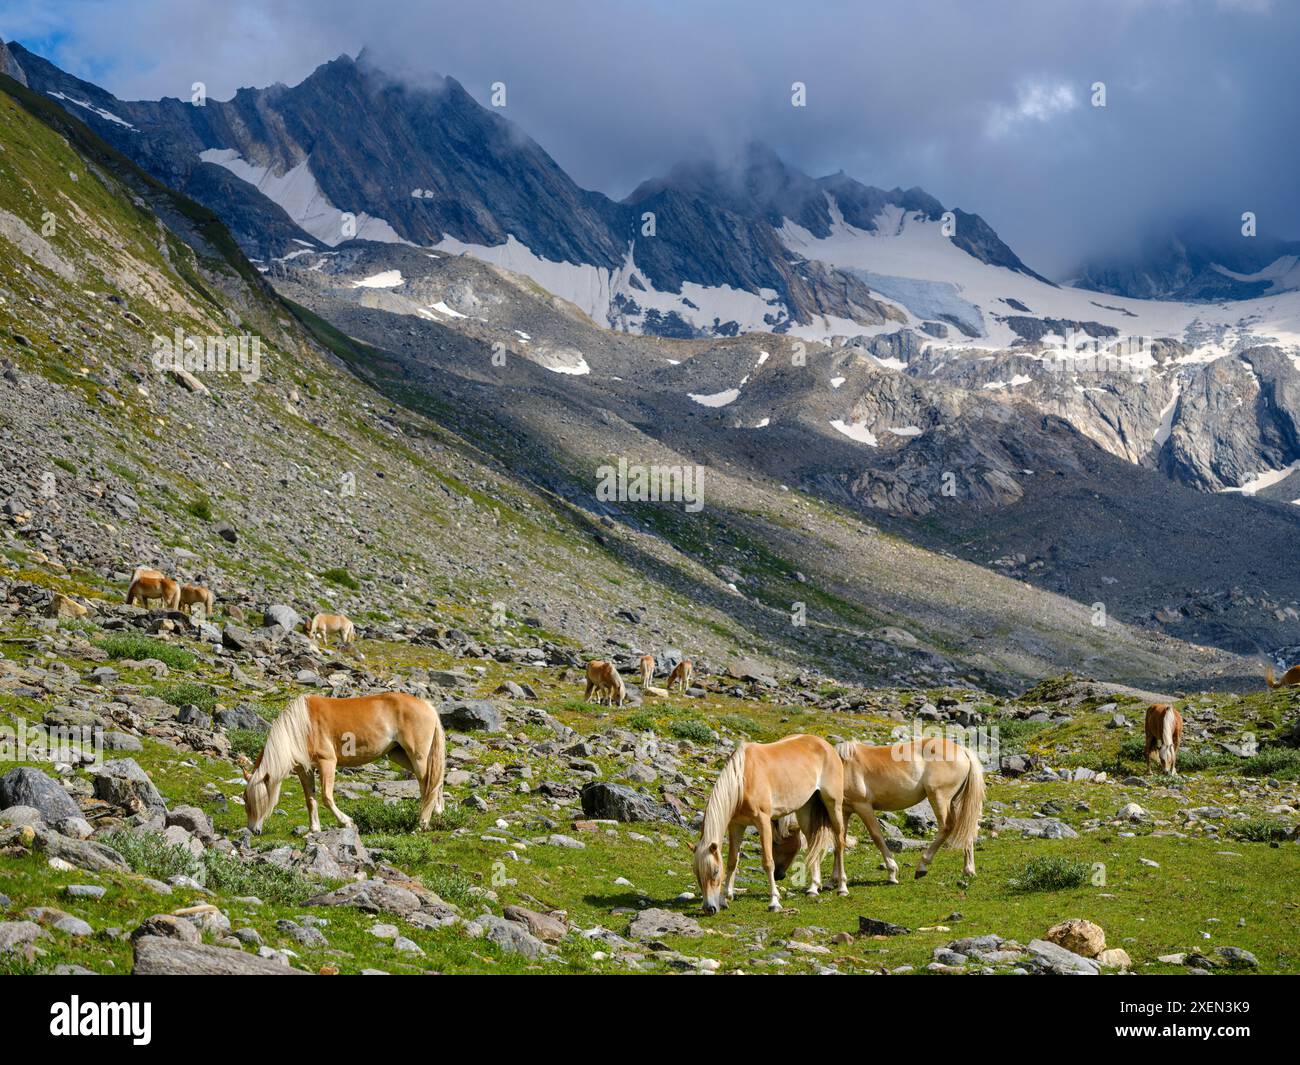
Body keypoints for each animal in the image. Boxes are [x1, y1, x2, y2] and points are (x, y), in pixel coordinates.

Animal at [243, 692, 445, 833]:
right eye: (245, 797)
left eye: (252, 799)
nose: (253, 830)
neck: (301, 727)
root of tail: (426, 706)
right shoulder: (304, 769)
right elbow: (310, 799)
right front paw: (313, 829)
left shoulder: (327, 763)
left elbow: (326, 796)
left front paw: (346, 822)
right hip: (399, 755)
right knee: (433, 782)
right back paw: (437, 811)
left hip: (417, 756)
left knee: (427, 785)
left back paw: (422, 823)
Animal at [691, 734, 848, 914]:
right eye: (696, 872)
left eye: (715, 871)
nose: (709, 908)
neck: (743, 779)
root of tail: (826, 745)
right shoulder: (736, 825)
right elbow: (732, 862)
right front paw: (725, 899)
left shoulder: (763, 821)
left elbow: (768, 863)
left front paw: (774, 902)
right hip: (805, 809)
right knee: (812, 844)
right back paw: (813, 889)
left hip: (834, 805)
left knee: (839, 843)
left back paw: (842, 888)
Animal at [790, 737, 985, 885]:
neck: (839, 767)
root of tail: (963, 751)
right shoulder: (844, 810)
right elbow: (840, 840)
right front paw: (833, 880)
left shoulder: (863, 807)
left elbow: (876, 836)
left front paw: (892, 873)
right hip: (955, 801)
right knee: (966, 828)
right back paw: (968, 870)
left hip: (939, 797)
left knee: (947, 827)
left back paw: (922, 866)